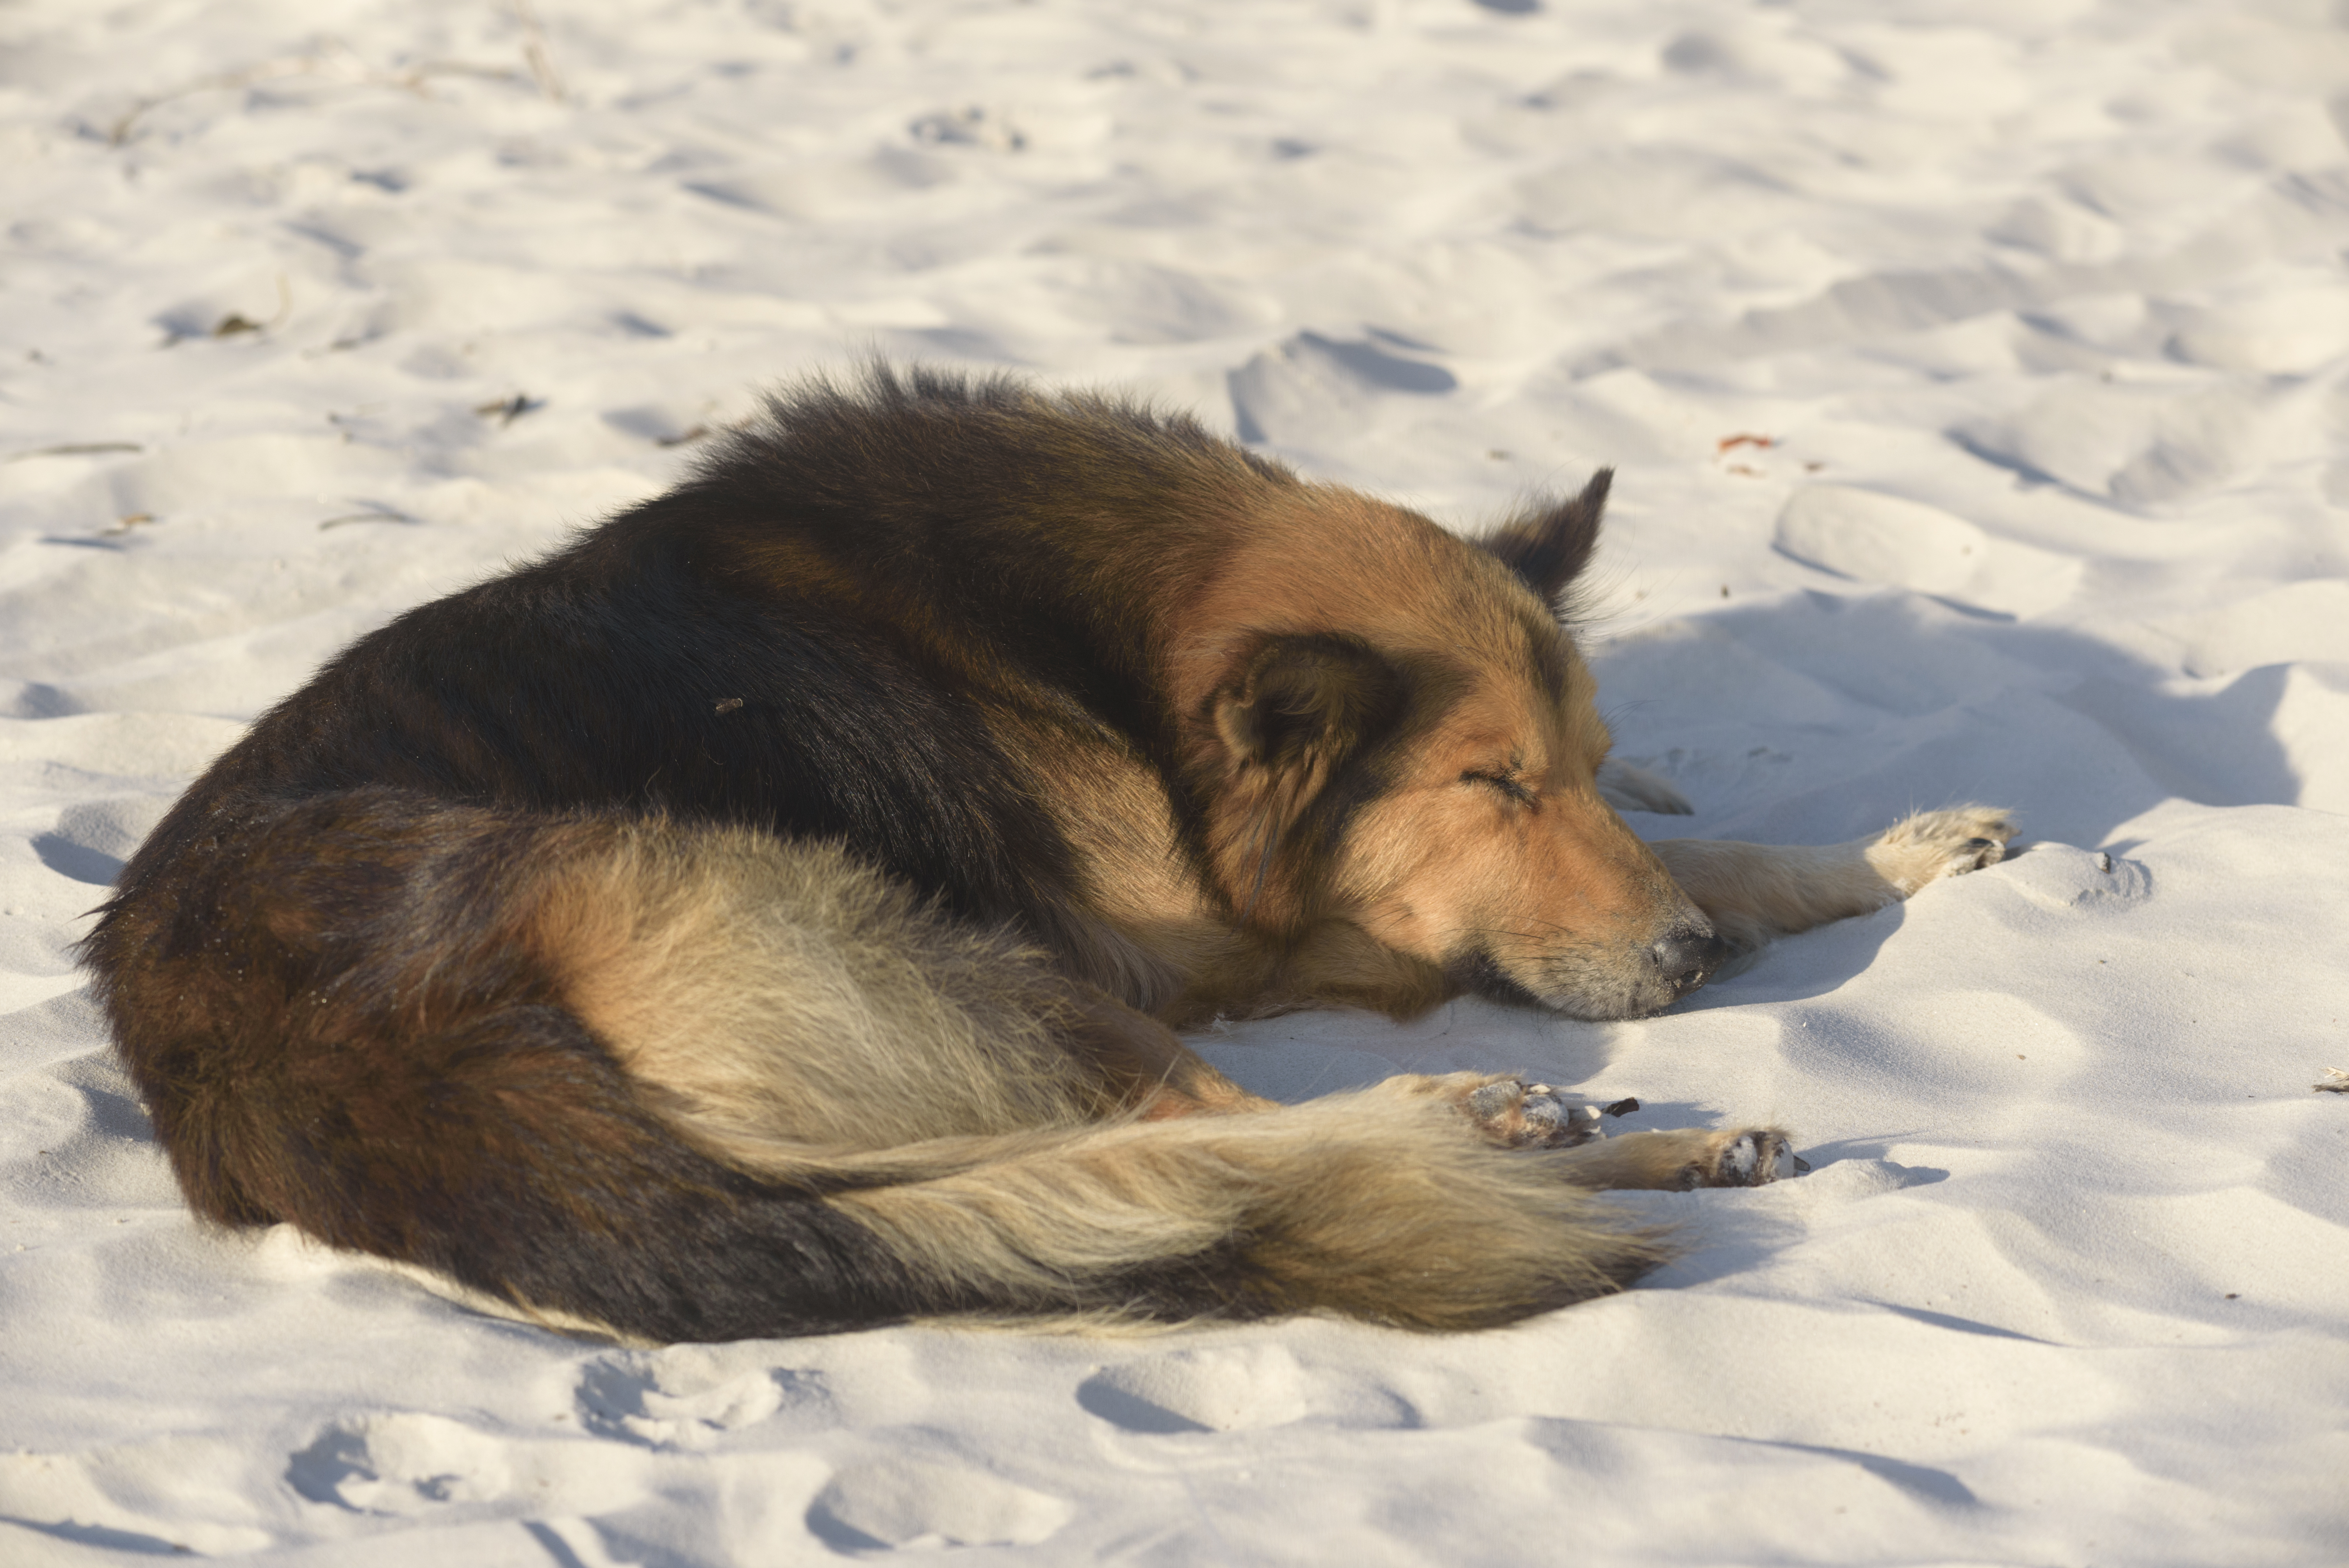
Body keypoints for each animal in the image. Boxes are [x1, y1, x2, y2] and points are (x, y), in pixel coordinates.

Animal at [83, 363, 2010, 1333]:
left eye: (1586, 770)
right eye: (1490, 785)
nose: (1681, 970)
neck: (1115, 655)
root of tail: (298, 1054)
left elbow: (1724, 848)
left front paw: (1885, 854)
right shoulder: (1206, 941)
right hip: (894, 929)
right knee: (1218, 1143)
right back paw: (1548, 1126)